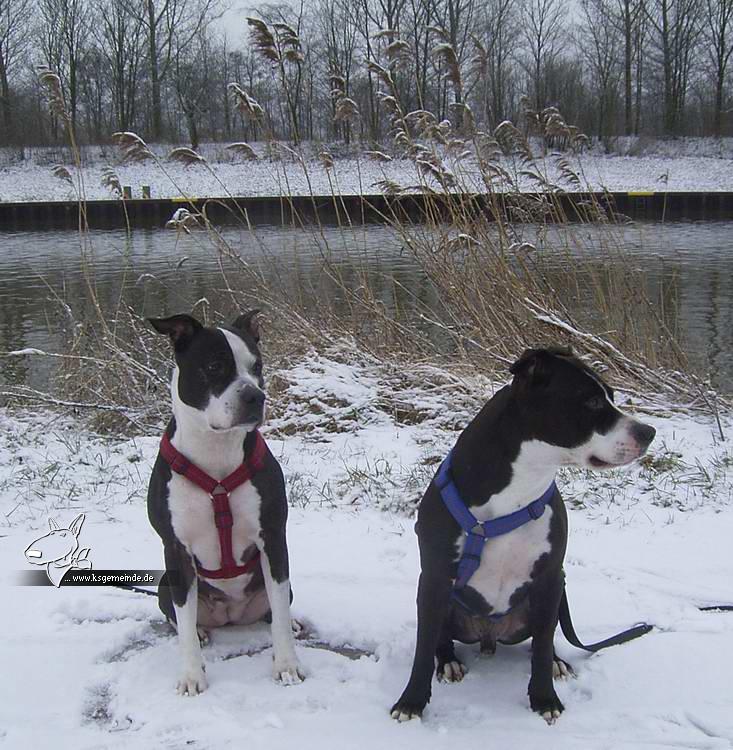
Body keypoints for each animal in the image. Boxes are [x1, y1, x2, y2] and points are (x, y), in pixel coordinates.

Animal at [147, 312, 302, 700]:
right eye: (215, 366)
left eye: (257, 366)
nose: (255, 396)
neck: (216, 451)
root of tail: (231, 615)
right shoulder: (176, 549)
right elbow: (184, 624)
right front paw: (191, 676)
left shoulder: (273, 539)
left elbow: (279, 613)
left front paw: (287, 666)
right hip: (165, 584)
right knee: (179, 617)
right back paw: (201, 630)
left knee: (276, 608)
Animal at [392, 352, 656, 728]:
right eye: (591, 401)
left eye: (611, 396)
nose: (649, 432)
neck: (520, 485)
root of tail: (489, 638)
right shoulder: (434, 578)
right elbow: (423, 647)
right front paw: (412, 702)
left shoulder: (549, 578)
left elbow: (543, 646)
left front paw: (544, 697)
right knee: (441, 638)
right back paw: (449, 661)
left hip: (552, 596)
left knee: (544, 637)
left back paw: (558, 662)